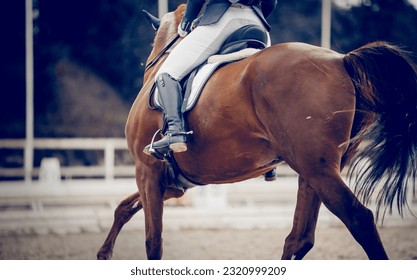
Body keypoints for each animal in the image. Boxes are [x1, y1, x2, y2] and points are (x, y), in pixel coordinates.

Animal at [97, 4, 416, 260]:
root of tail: (341, 60)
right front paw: (103, 254)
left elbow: (153, 241)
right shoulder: (174, 184)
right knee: (299, 238)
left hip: (317, 168)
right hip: (314, 170)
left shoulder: (147, 169)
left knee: (359, 219)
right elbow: (123, 207)